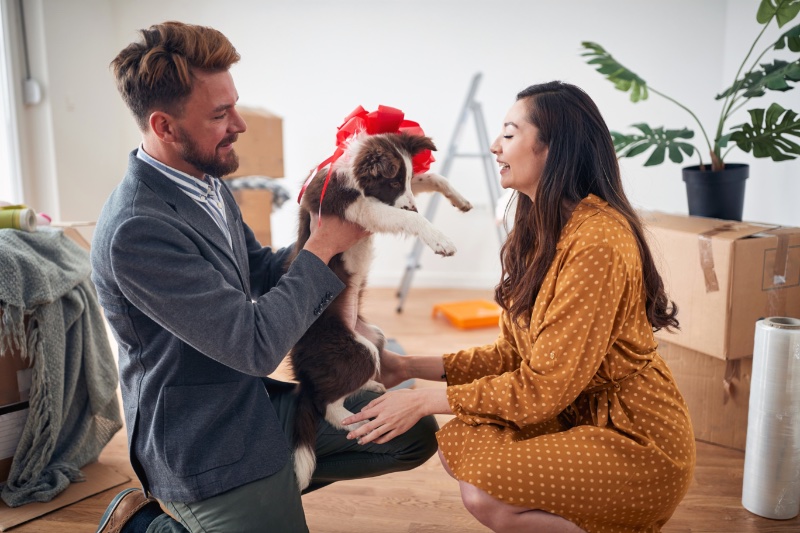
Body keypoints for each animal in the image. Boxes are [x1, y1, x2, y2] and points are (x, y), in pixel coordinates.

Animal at [288, 131, 472, 488]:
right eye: (392, 182)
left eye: (404, 180)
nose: (413, 202)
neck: (353, 171)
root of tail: (303, 373)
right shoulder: (355, 207)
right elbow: (407, 217)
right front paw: (440, 240)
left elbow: (430, 177)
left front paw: (459, 199)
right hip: (355, 350)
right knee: (326, 404)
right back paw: (357, 421)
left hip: (374, 336)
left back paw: (370, 387)